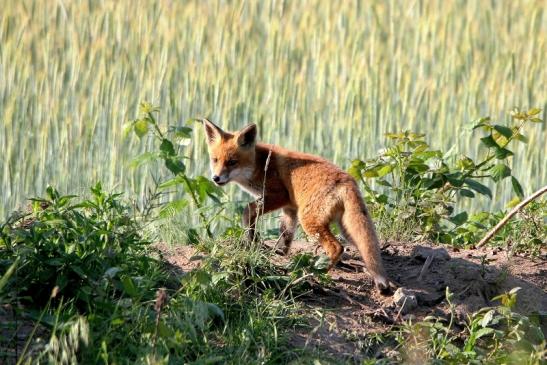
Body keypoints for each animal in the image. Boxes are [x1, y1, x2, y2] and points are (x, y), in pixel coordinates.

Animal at [203, 119, 392, 292]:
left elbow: (247, 211)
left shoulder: (279, 195)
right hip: (347, 228)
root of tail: (346, 179)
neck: (260, 164)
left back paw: (316, 272)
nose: (215, 178)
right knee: (366, 248)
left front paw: (252, 239)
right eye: (215, 160)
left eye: (232, 162)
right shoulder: (290, 207)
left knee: (337, 247)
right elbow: (285, 233)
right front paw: (279, 253)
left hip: (309, 221)